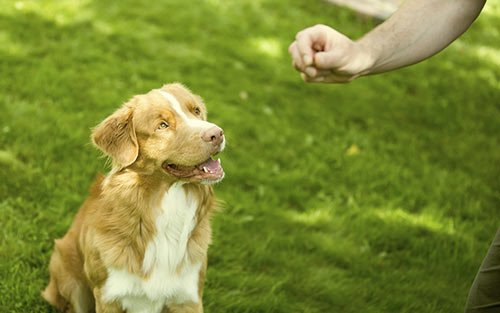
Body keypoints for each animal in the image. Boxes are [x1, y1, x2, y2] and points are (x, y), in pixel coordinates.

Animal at [43, 83, 227, 312]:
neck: (168, 204)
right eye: (162, 125)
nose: (217, 134)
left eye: (196, 111)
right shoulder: (108, 296)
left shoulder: (188, 297)